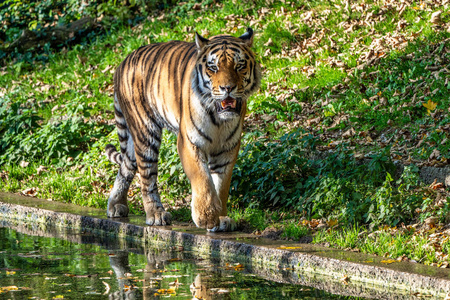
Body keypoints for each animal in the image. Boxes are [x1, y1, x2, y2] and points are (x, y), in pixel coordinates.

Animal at [104, 27, 260, 232]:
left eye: (239, 65)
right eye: (213, 67)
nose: (228, 88)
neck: (219, 119)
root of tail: (122, 62)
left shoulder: (228, 148)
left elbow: (221, 186)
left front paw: (222, 219)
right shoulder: (188, 142)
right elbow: (202, 179)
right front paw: (206, 216)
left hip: (133, 141)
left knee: (126, 166)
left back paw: (116, 205)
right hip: (145, 133)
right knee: (147, 177)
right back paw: (156, 214)